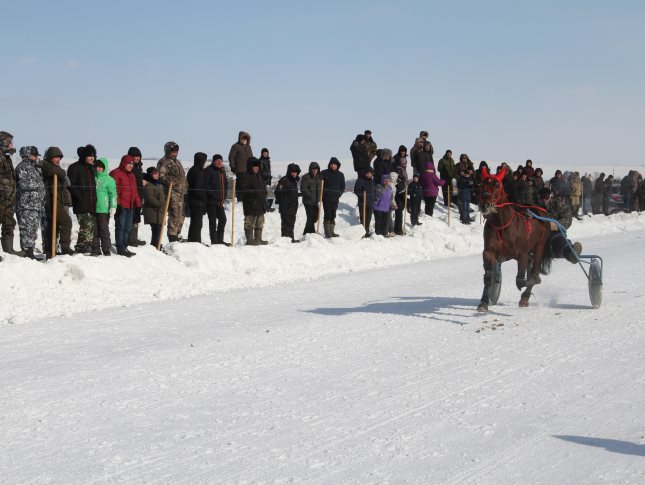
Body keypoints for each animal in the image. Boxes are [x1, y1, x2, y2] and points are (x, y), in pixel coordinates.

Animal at [476, 166, 552, 310]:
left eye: (497, 185)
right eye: (481, 185)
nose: (484, 204)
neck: (502, 225)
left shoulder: (522, 253)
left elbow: (522, 280)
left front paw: (533, 281)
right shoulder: (489, 252)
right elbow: (488, 276)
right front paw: (483, 302)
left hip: (540, 245)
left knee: (534, 268)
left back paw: (526, 295)